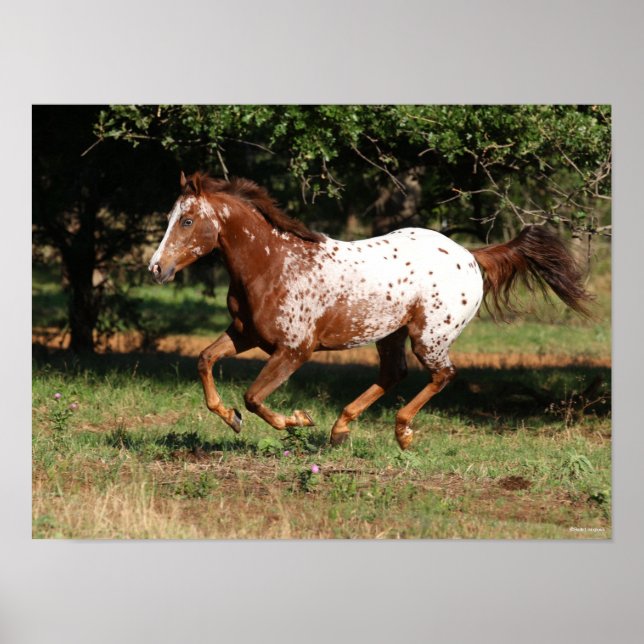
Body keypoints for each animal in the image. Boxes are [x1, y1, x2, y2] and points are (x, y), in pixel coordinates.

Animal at [148, 172, 592, 450]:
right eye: (170, 217)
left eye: (187, 221)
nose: (156, 268)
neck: (272, 264)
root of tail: (470, 255)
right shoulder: (245, 335)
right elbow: (205, 361)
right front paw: (231, 417)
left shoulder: (294, 350)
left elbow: (255, 396)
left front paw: (298, 421)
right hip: (390, 334)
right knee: (394, 373)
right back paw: (341, 429)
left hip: (429, 337)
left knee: (442, 375)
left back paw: (402, 433)